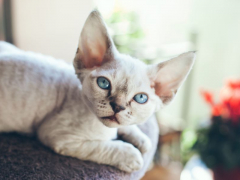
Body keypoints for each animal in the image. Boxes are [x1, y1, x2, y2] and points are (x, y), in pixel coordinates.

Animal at [0, 10, 195, 173]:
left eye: (140, 98)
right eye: (103, 83)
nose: (118, 106)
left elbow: (130, 128)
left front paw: (142, 140)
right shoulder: (58, 135)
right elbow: (105, 147)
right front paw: (133, 156)